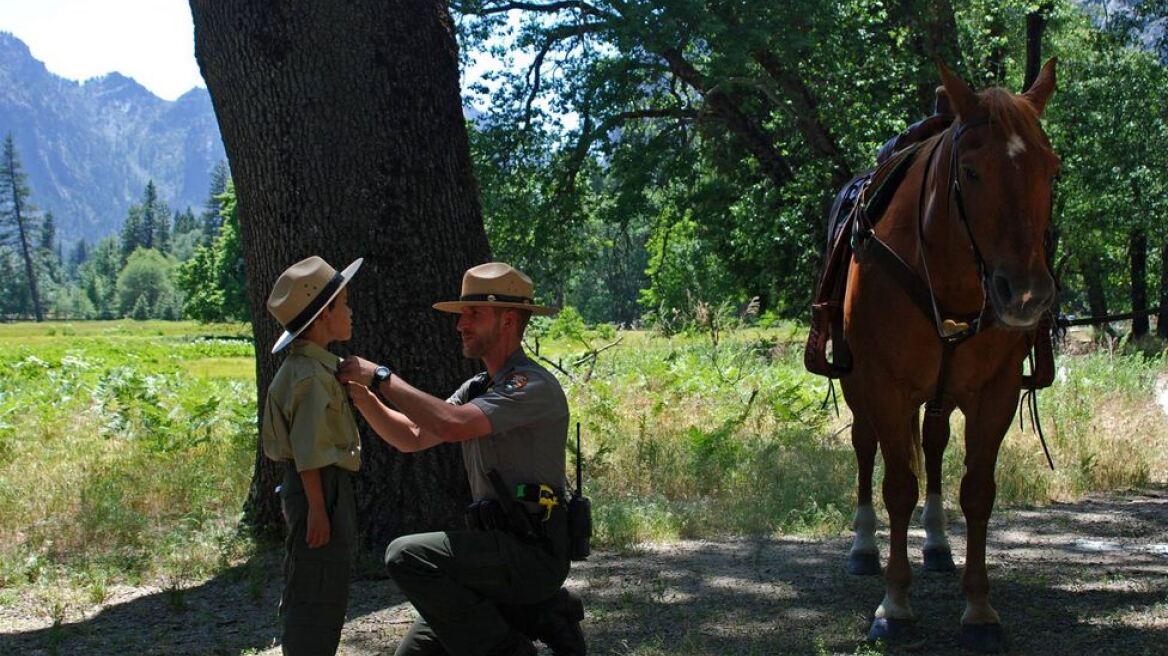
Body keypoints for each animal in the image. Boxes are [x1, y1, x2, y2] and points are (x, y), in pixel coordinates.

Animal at [840, 60, 1060, 648]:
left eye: (1051, 170)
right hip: (858, 387)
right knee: (865, 448)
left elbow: (978, 492)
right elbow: (897, 487)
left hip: (941, 394)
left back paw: (938, 544)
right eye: (972, 171)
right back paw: (863, 548)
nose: (1025, 295)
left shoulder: (995, 393)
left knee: (935, 445)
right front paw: (894, 605)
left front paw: (979, 609)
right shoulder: (885, 387)